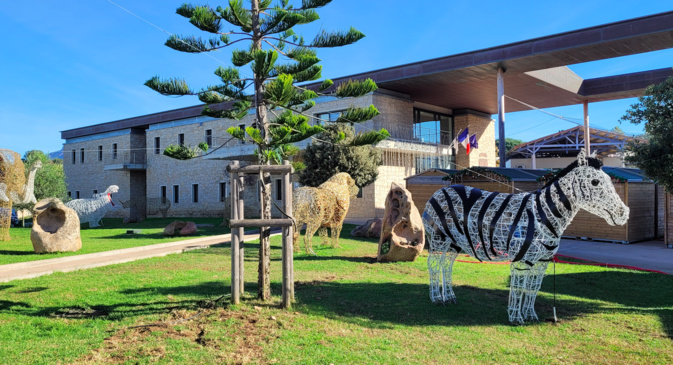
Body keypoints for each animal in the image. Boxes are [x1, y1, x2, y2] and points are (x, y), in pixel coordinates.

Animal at [422, 149, 628, 322]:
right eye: (595, 182)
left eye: (610, 181)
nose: (624, 213)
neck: (544, 215)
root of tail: (440, 190)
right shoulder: (521, 261)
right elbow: (519, 288)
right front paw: (515, 318)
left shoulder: (542, 262)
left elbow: (532, 289)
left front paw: (530, 316)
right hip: (439, 240)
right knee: (433, 265)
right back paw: (436, 298)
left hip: (454, 243)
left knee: (446, 265)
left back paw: (449, 297)